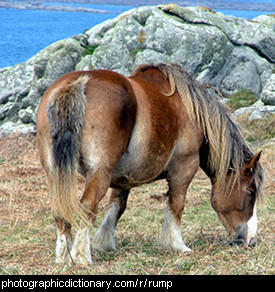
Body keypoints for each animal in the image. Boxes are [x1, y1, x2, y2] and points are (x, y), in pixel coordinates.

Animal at [36, 62, 266, 264]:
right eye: (250, 191)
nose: (250, 240)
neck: (190, 110)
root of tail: (78, 83)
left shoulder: (122, 178)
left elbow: (117, 207)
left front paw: (104, 242)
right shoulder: (184, 168)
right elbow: (176, 206)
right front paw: (177, 245)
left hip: (56, 173)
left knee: (60, 211)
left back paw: (64, 257)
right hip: (99, 173)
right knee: (87, 207)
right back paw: (82, 257)